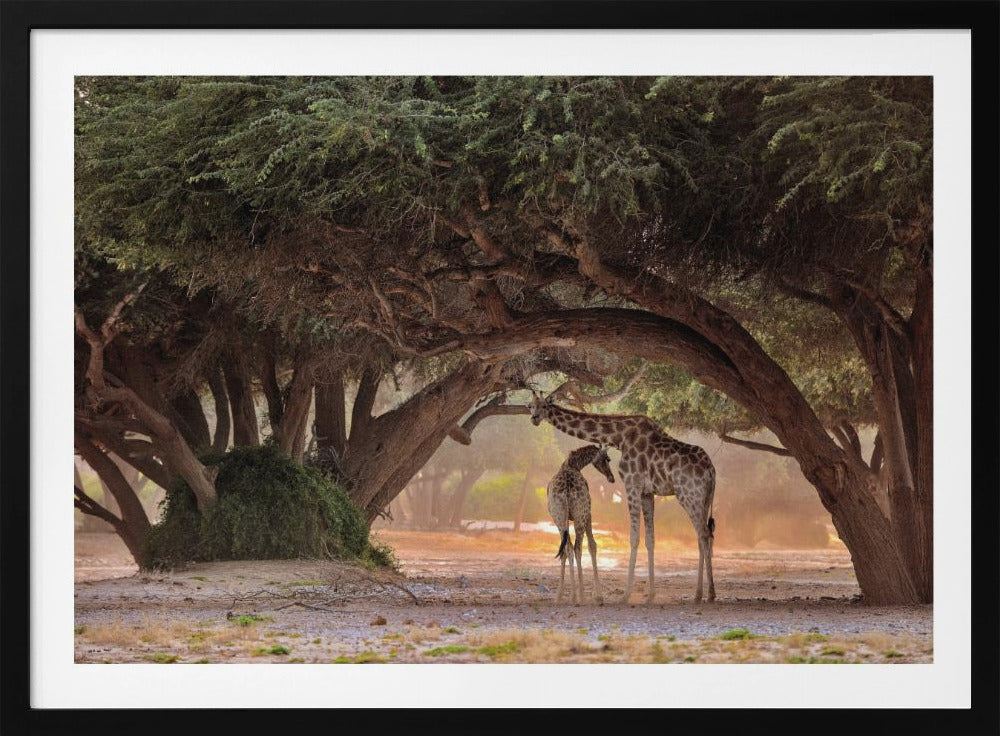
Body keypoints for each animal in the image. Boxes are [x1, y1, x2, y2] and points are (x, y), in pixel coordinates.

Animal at [546, 444, 615, 605]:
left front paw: (561, 595)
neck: (574, 464)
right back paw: (581, 596)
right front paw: (598, 596)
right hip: (580, 515)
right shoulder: (589, 513)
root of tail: (566, 490)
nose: (611, 478)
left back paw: (569, 596)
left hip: (559, 517)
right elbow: (592, 545)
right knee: (577, 548)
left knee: (567, 549)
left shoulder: (563, 519)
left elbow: (565, 550)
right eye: (607, 458)